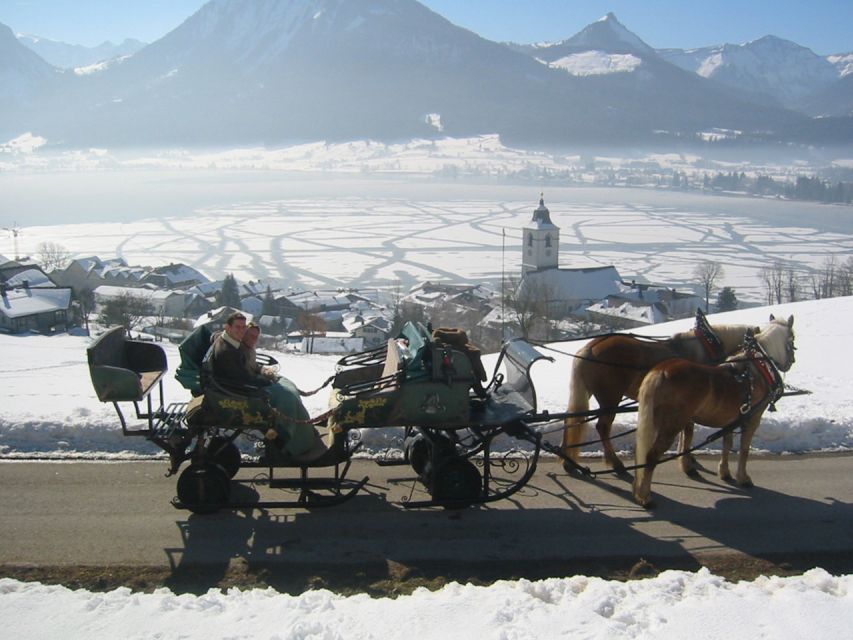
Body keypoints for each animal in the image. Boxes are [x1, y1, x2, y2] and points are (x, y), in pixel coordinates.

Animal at [564, 318, 756, 472]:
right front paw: (687, 460)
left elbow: (686, 431)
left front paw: (688, 458)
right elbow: (688, 431)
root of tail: (590, 347)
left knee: (571, 418)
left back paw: (568, 461)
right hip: (610, 397)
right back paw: (615, 463)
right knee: (603, 427)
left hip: (590, 392)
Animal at [628, 312, 796, 508]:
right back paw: (645, 496)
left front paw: (724, 472)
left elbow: (727, 444)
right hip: (670, 426)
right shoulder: (753, 418)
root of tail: (661, 371)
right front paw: (743, 478)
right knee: (651, 457)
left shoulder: (731, 419)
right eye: (792, 339)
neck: (757, 369)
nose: (791, 362)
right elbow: (744, 449)